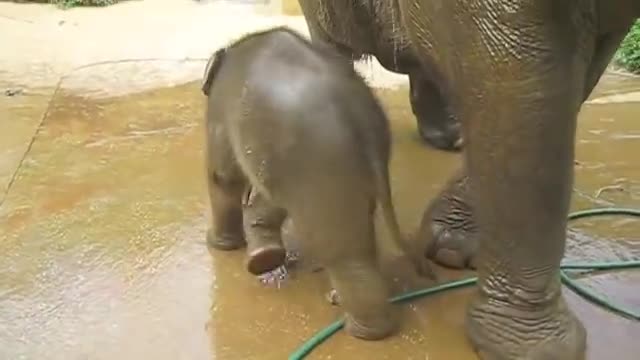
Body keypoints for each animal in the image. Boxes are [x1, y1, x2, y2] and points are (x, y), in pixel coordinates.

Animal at [200, 26, 432, 338]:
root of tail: (363, 121)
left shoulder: (220, 112)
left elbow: (223, 176)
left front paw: (219, 245)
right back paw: (338, 300)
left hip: (323, 171)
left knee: (343, 254)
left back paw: (359, 330)